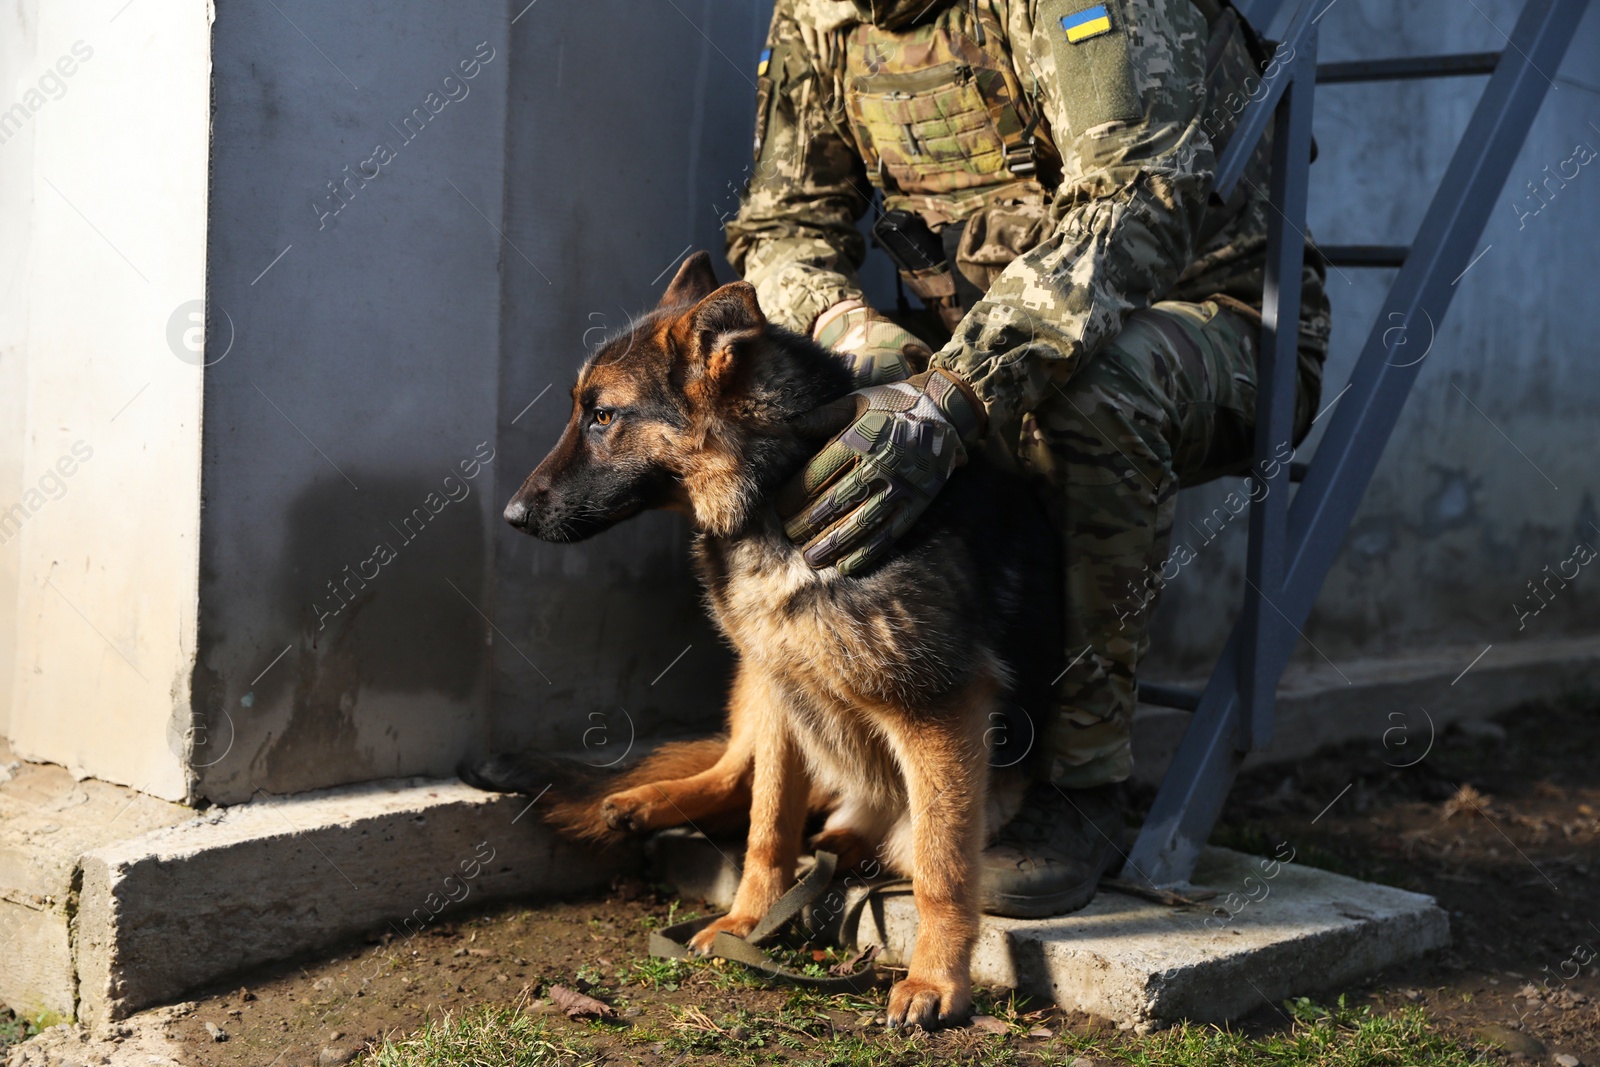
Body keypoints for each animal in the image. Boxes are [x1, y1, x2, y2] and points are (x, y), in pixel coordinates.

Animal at [492, 254, 1056, 1030]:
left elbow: (941, 870)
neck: (776, 491)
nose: (512, 515)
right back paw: (649, 801)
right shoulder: (784, 692)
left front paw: (936, 981)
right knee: (735, 774)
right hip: (756, 684)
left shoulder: (940, 714)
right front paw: (746, 922)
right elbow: (767, 826)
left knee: (892, 837)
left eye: (603, 415)